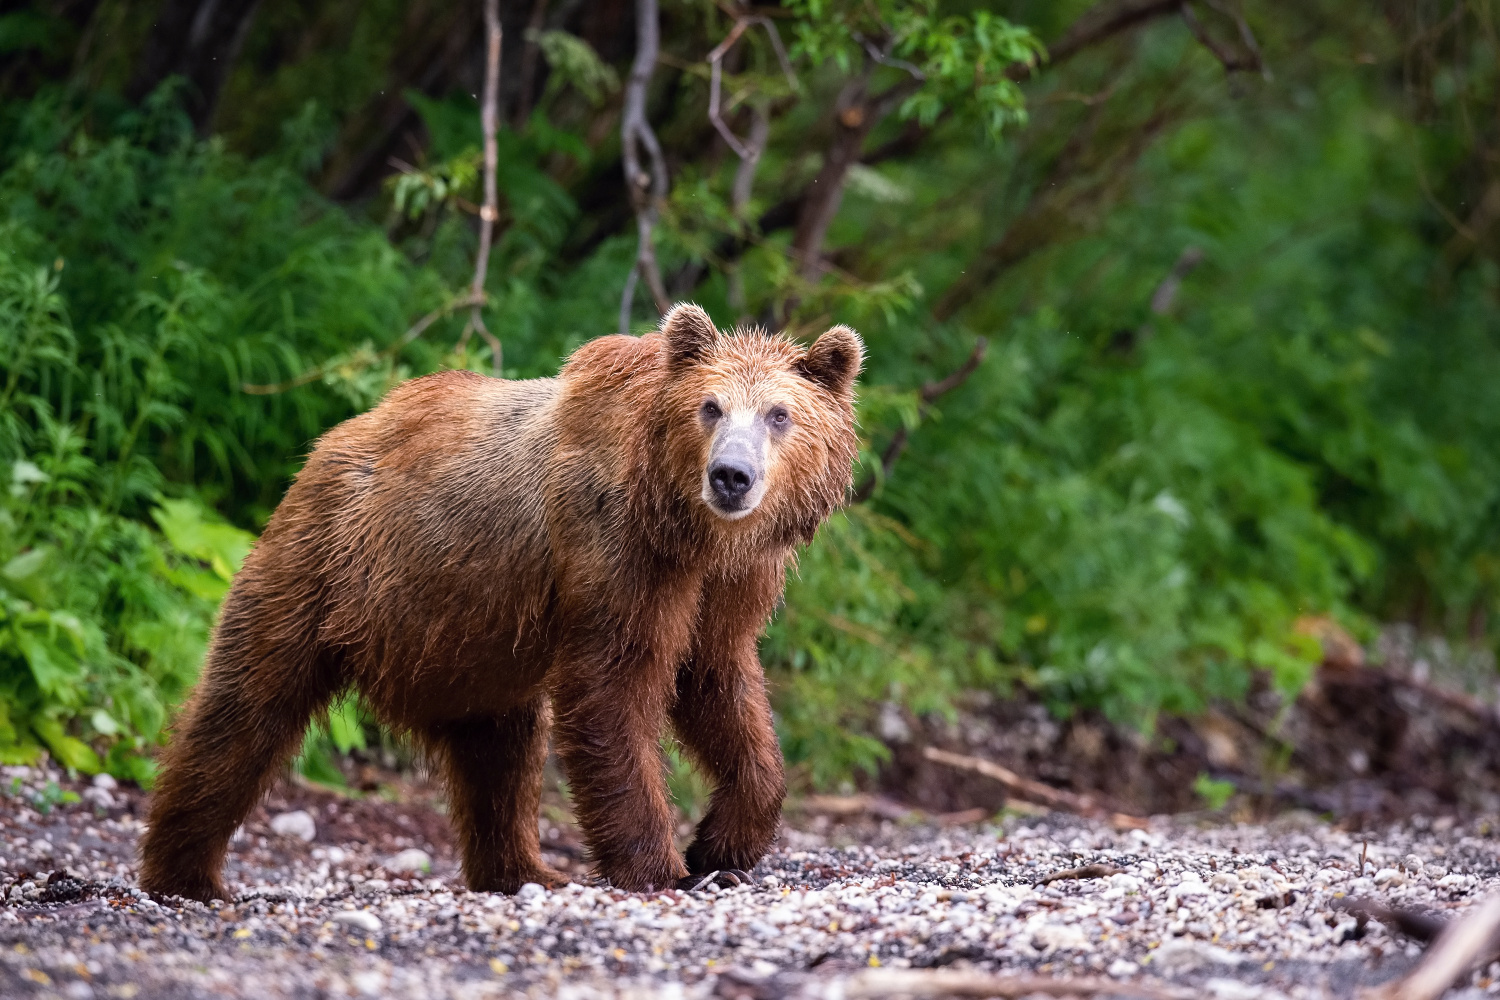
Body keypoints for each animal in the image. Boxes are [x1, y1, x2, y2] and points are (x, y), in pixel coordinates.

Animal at [141, 302, 870, 899]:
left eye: (780, 414)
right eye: (711, 407)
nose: (731, 476)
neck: (690, 528)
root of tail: (333, 439)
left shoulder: (731, 584)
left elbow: (718, 682)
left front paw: (721, 843)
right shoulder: (617, 550)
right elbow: (614, 690)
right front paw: (660, 866)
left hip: (470, 643)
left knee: (500, 755)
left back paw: (524, 871)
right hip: (323, 568)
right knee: (246, 710)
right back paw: (186, 873)